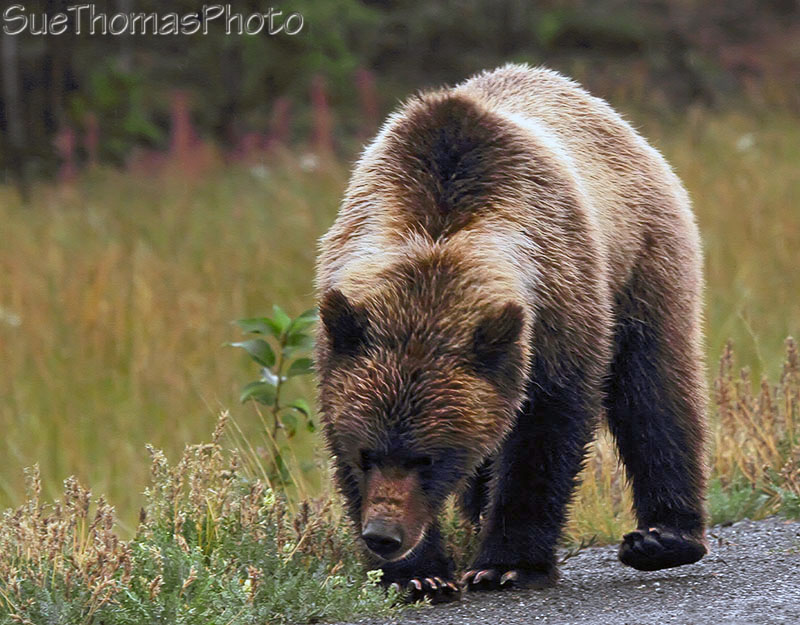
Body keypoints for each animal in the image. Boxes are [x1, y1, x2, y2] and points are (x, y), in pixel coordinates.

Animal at [314, 64, 708, 602]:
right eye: (366, 453)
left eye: (428, 459)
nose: (383, 536)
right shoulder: (341, 335)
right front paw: (419, 574)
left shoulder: (559, 306)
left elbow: (546, 432)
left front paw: (507, 565)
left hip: (645, 257)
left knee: (654, 388)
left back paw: (663, 537)